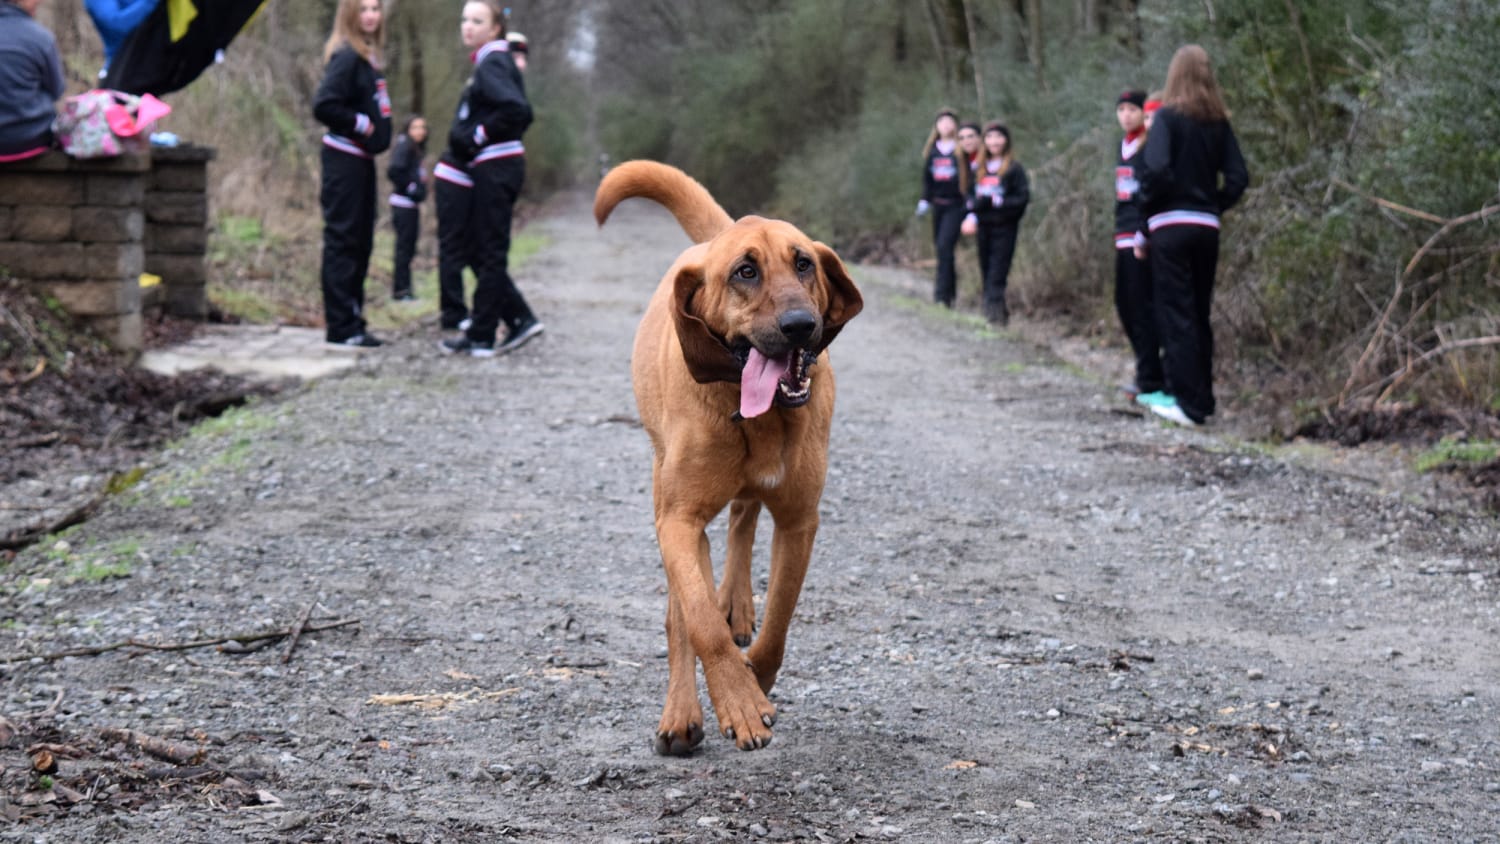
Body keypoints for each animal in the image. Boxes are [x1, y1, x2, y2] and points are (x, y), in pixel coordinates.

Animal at [591, 161, 864, 755]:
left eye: (804, 263)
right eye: (745, 272)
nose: (799, 324)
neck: (754, 413)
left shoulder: (799, 520)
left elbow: (780, 616)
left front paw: (754, 674)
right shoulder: (678, 520)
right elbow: (698, 620)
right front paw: (736, 698)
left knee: (742, 518)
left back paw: (737, 603)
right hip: (664, 489)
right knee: (681, 607)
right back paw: (680, 713)